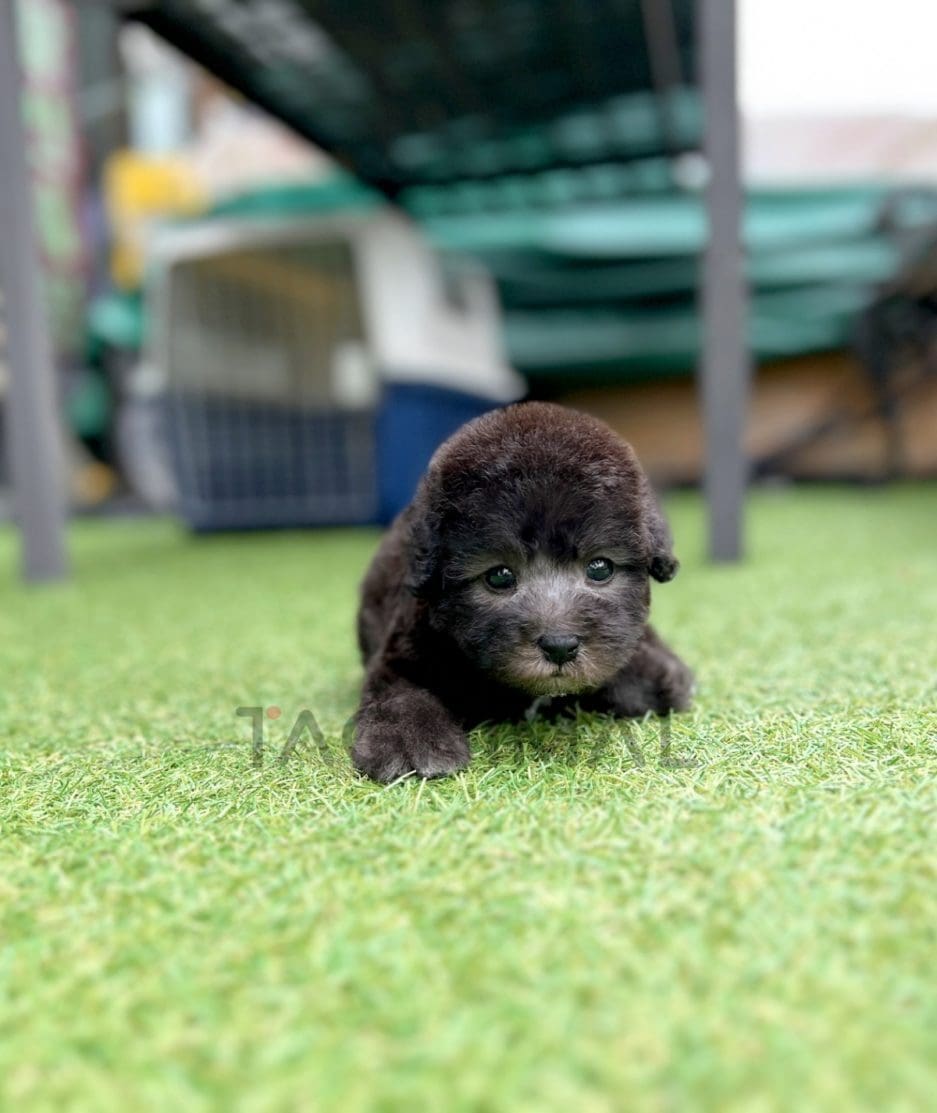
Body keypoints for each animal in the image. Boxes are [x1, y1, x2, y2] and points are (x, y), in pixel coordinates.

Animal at [353, 402, 689, 783]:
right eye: (499, 576)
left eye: (600, 568)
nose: (560, 646)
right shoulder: (406, 649)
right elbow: (399, 692)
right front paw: (409, 742)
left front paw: (648, 676)